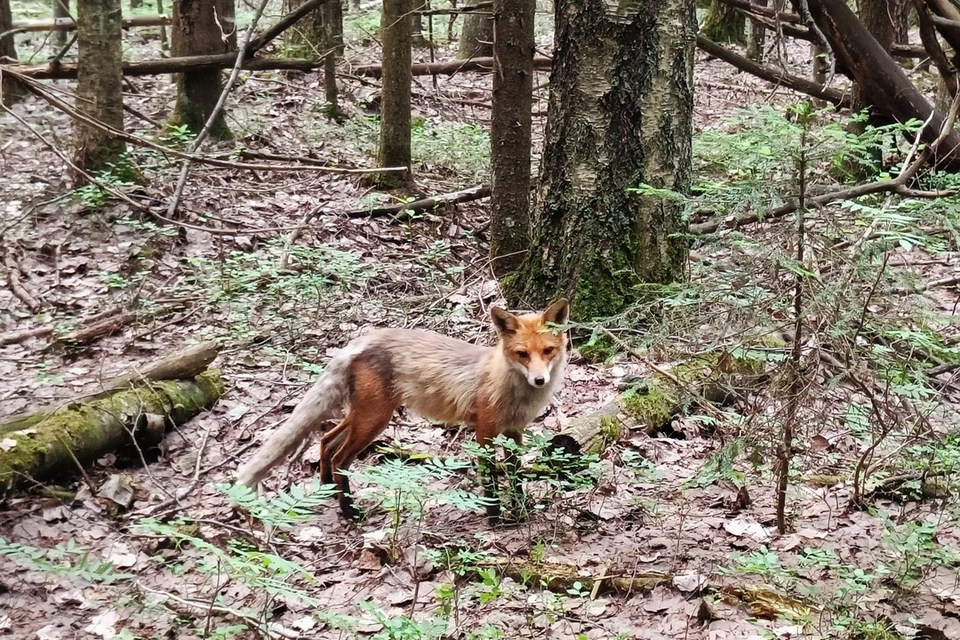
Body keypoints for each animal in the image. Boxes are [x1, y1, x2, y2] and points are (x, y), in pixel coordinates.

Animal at [235, 298, 568, 524]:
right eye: (522, 354)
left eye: (547, 351)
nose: (540, 380)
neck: (509, 390)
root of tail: (361, 341)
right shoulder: (484, 432)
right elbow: (490, 480)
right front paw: (495, 518)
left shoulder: (514, 431)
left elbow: (516, 476)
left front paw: (520, 513)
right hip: (375, 419)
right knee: (341, 456)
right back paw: (349, 511)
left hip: (364, 415)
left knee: (327, 441)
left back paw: (327, 490)